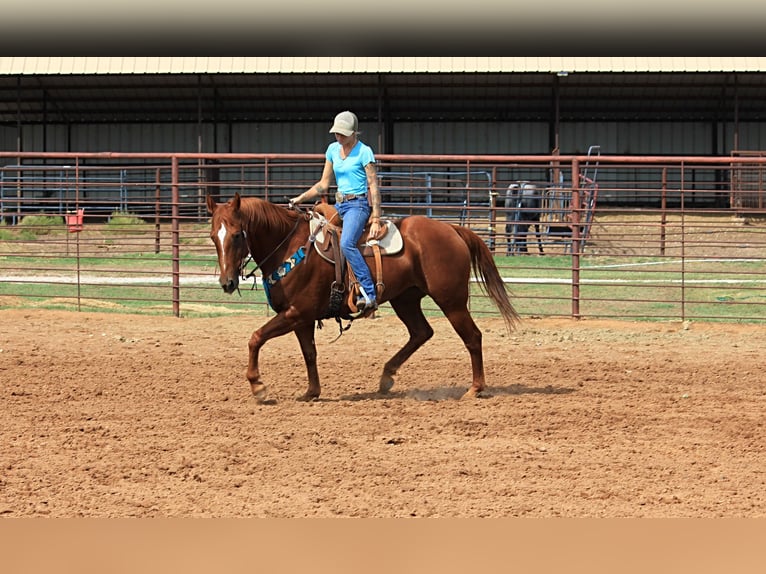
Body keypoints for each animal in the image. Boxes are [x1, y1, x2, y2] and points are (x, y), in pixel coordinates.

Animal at [207, 191, 520, 402]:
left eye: (237, 235)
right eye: (213, 236)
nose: (227, 282)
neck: (290, 246)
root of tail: (451, 229)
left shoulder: (296, 313)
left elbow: (256, 337)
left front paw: (258, 386)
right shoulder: (301, 318)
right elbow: (309, 352)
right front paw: (311, 392)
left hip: (451, 300)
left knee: (472, 337)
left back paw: (475, 388)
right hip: (406, 299)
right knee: (421, 332)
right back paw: (386, 376)